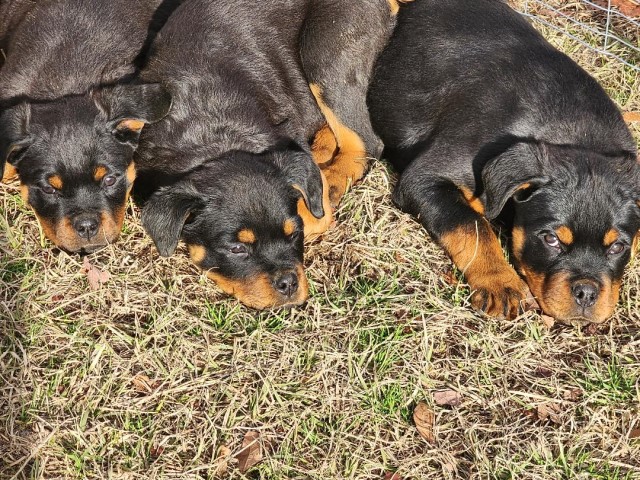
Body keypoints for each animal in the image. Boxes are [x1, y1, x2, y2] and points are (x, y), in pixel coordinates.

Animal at [138, 0, 402, 308]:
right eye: (236, 248)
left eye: (293, 233)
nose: (288, 284)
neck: (215, 132)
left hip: (326, 48)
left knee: (366, 141)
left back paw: (334, 178)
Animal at [368, 0, 640, 324]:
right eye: (550, 240)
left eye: (619, 246)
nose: (586, 293)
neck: (577, 135)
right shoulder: (426, 177)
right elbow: (472, 226)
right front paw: (501, 283)